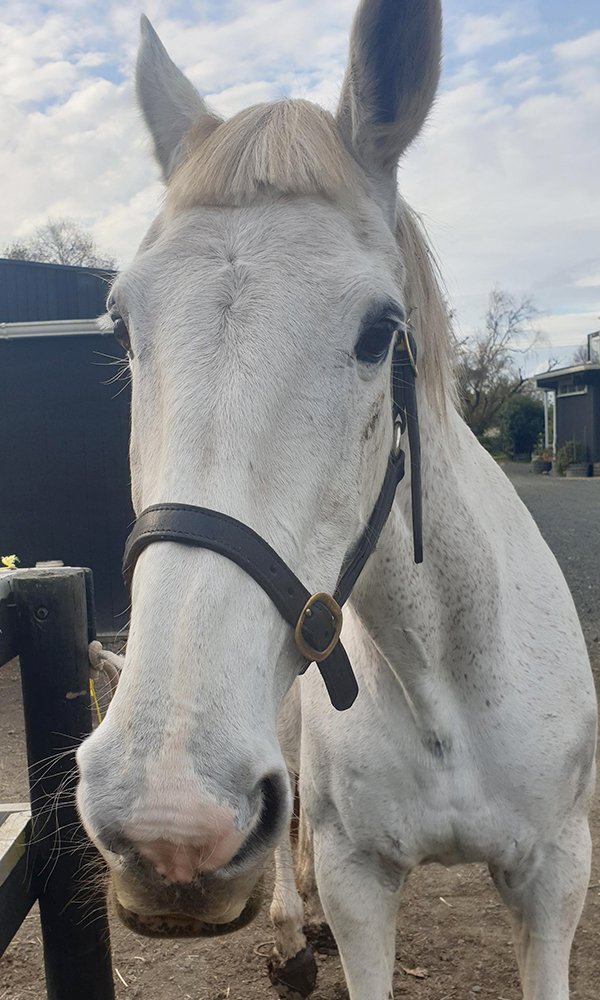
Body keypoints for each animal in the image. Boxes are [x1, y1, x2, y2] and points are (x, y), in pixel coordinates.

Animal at [77, 1, 596, 1000]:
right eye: (122, 325)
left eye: (379, 331)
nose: (167, 819)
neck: (446, 684)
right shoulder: (364, 886)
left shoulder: (555, 875)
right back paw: (289, 925)